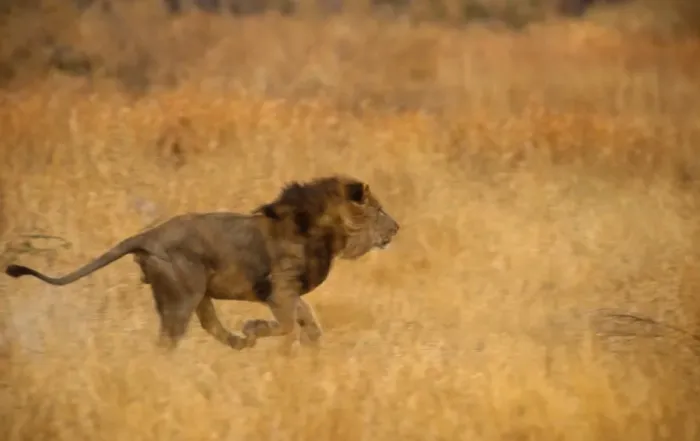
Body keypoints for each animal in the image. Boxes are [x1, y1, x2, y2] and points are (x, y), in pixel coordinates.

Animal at [4, 175, 400, 353]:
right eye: (379, 210)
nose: (397, 227)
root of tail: (147, 236)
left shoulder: (289, 293)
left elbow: (308, 321)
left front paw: (311, 350)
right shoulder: (280, 289)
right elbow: (288, 323)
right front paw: (256, 327)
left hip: (198, 293)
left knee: (209, 325)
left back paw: (239, 342)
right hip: (182, 297)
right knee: (168, 341)